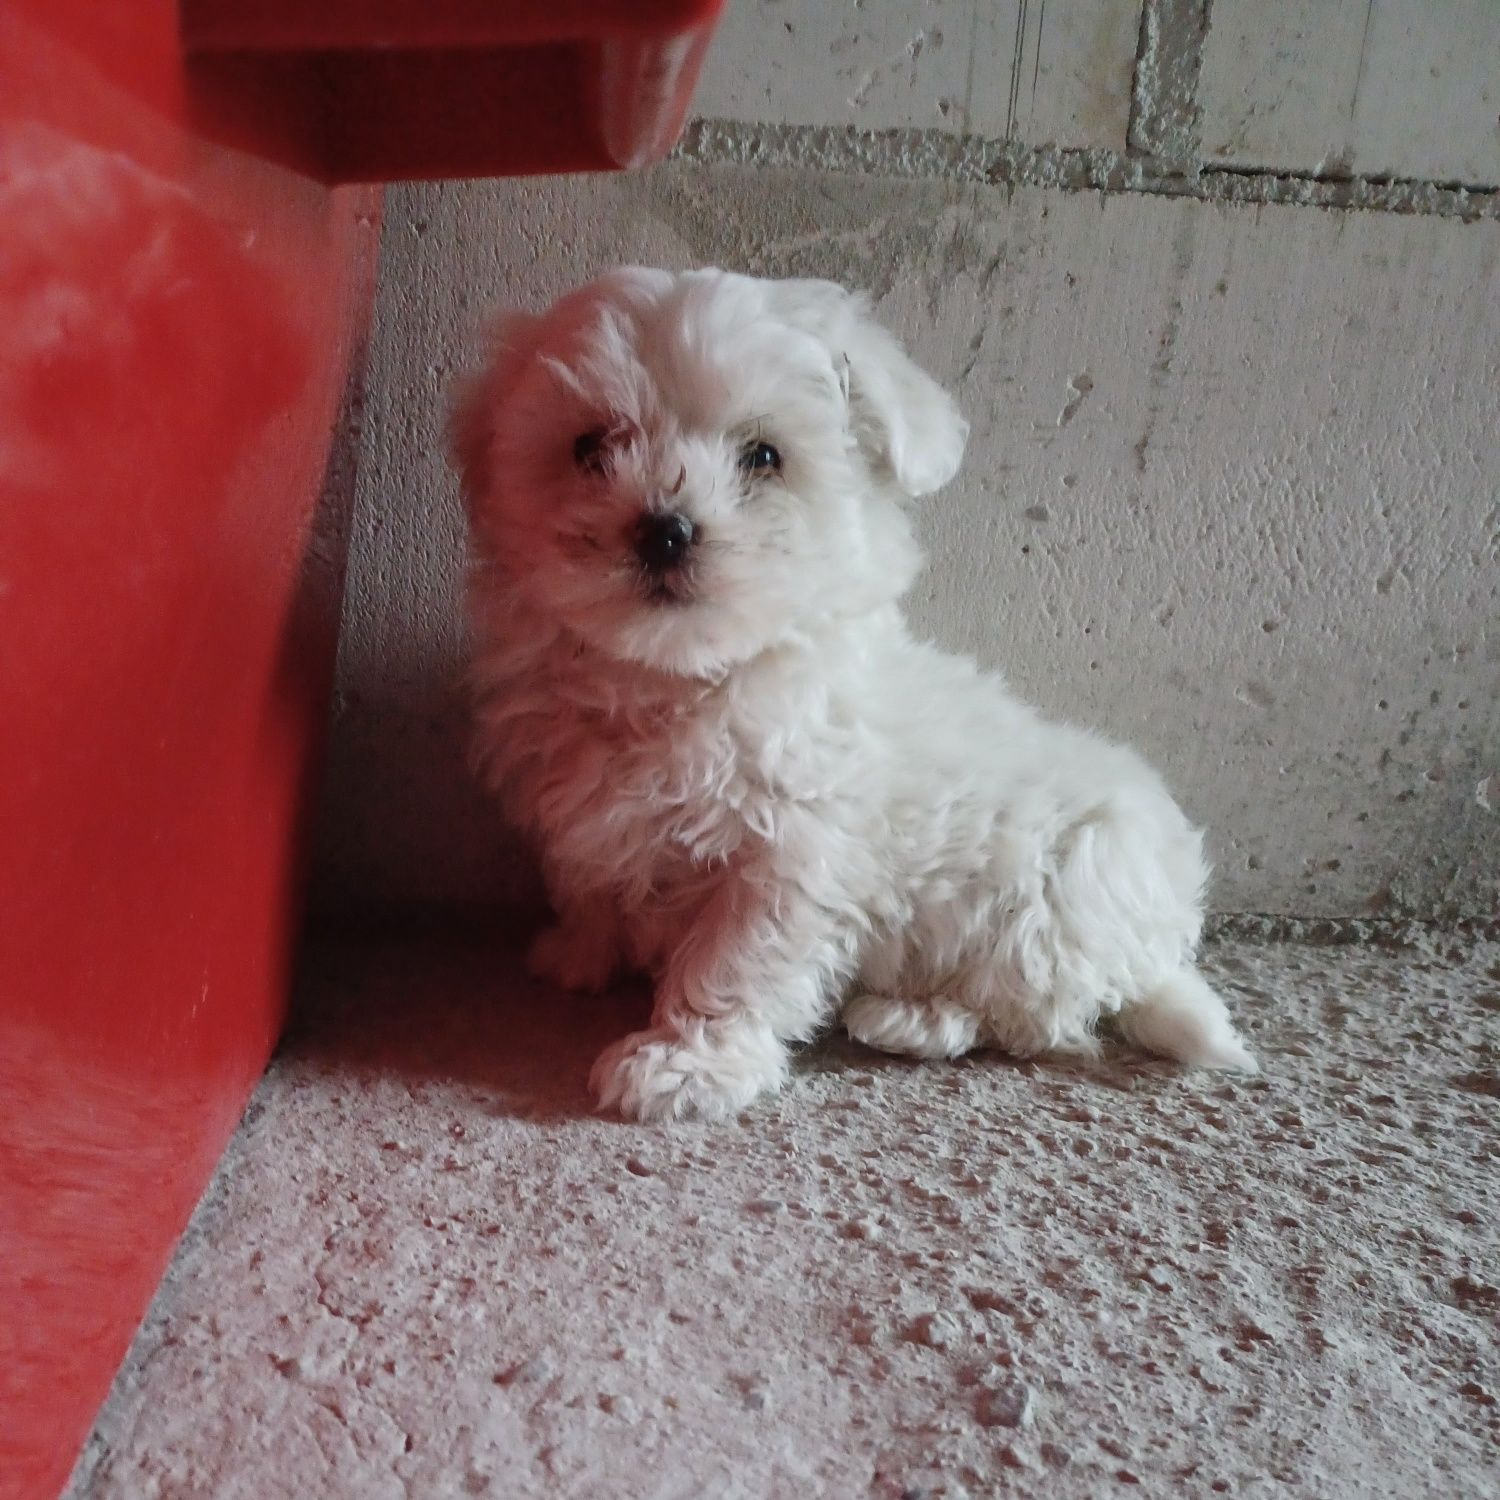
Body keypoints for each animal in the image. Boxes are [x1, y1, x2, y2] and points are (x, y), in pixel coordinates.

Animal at [453, 267, 1254, 1116]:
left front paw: (687, 1063)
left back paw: (906, 1018)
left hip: (1068, 890)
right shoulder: (584, 802)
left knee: (1033, 1016)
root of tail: (1152, 949)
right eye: (589, 447)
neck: (678, 677)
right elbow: (590, 877)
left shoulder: (788, 851)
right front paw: (580, 951)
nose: (664, 531)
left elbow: (735, 959)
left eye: (764, 455)